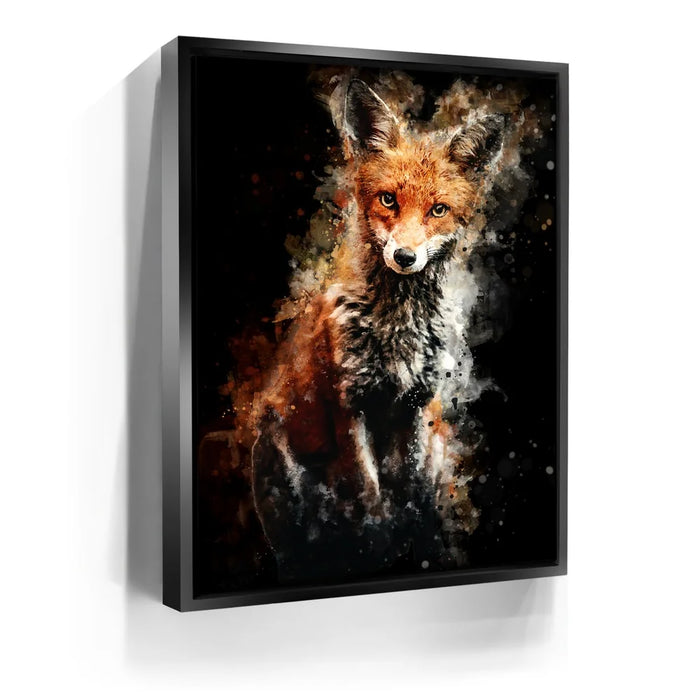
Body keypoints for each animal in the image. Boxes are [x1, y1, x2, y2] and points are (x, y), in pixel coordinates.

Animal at [251, 79, 504, 583]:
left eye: (438, 210)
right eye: (388, 200)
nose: (405, 256)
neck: (397, 329)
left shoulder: (416, 405)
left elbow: (413, 497)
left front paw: (420, 547)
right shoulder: (349, 406)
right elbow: (371, 498)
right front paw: (381, 546)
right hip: (277, 454)